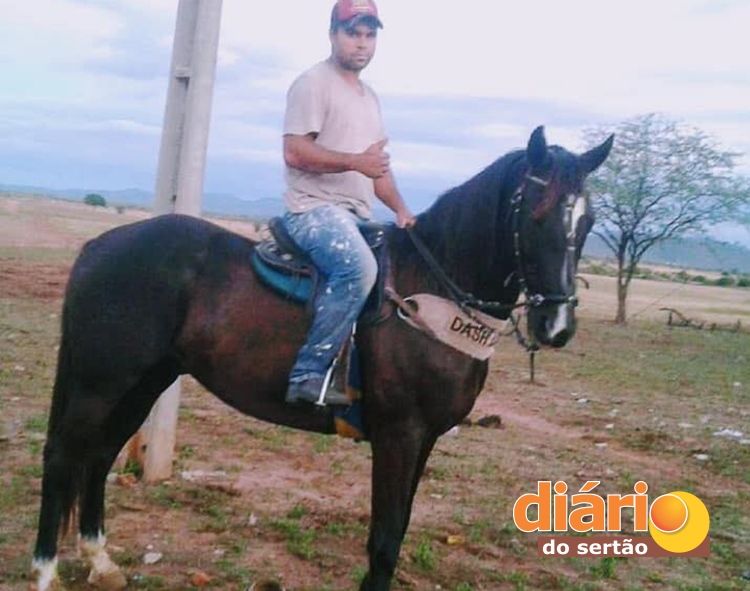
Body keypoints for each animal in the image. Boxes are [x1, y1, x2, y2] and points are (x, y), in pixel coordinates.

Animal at [31, 126, 613, 591]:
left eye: (586, 225)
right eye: (535, 217)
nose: (557, 326)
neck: (430, 296)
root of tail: (98, 246)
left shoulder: (424, 439)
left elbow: (399, 528)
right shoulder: (399, 435)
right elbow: (384, 540)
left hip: (145, 380)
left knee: (99, 455)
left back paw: (100, 560)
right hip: (101, 383)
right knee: (62, 457)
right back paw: (44, 571)